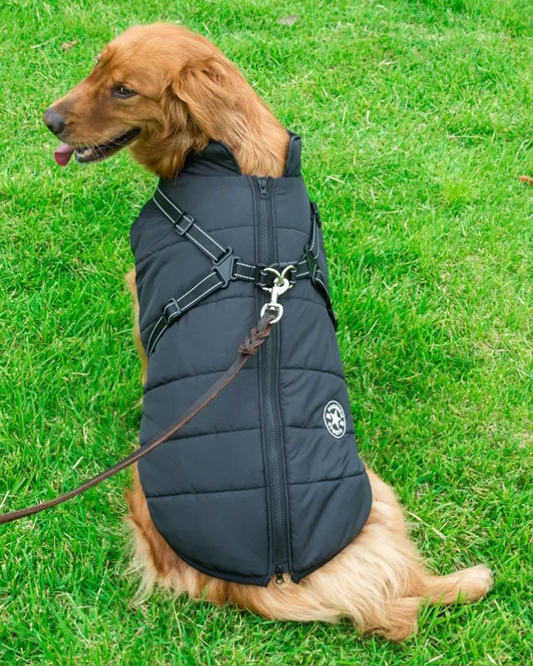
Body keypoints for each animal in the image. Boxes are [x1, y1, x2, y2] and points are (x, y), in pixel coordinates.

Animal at [43, 23, 492, 640]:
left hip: (145, 496)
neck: (238, 164)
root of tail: (277, 578)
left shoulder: (141, 295)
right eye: (95, 68)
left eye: (125, 90)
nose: (48, 120)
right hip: (378, 495)